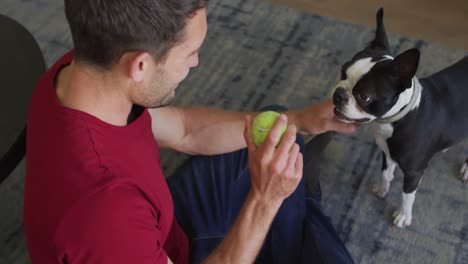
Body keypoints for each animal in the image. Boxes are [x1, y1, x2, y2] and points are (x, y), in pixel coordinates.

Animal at [330, 7, 466, 227]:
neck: (401, 116)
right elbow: (385, 173)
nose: (339, 94)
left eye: (365, 97)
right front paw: (381, 189)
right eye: (343, 71)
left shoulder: (414, 172)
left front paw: (403, 215)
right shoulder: (386, 151)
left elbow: (407, 195)